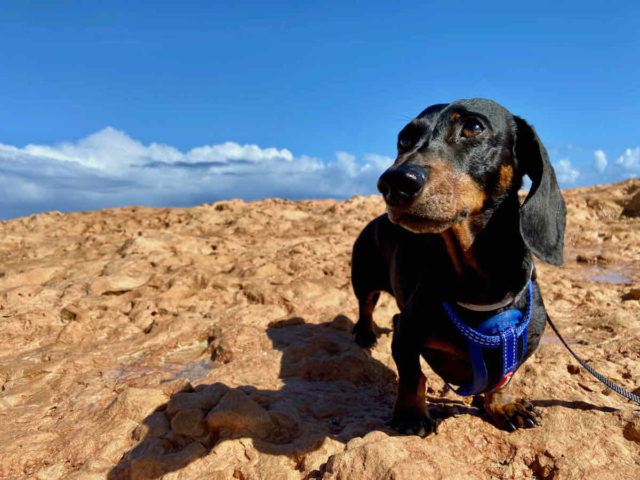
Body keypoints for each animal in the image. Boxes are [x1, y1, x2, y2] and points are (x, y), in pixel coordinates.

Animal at [352, 97, 568, 436]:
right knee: (366, 304)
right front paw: (411, 415)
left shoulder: (525, 342)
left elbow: (504, 379)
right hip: (363, 276)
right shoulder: (405, 329)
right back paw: (364, 333)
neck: (478, 284)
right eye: (404, 139)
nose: (393, 182)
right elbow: (413, 375)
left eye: (473, 127)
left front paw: (502, 405)